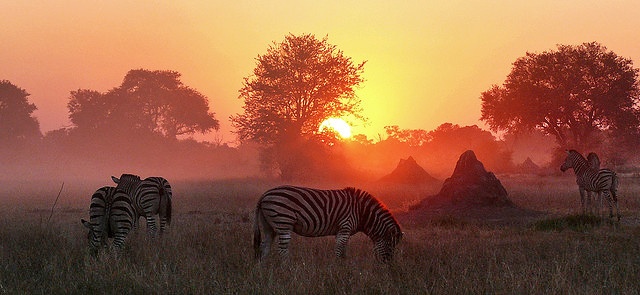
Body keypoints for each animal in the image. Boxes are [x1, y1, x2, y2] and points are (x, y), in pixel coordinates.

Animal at [254, 185, 400, 264]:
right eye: (391, 245)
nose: (388, 265)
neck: (361, 211)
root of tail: (264, 195)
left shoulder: (342, 231)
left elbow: (343, 252)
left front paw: (344, 268)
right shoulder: (345, 227)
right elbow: (339, 251)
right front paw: (338, 270)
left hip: (269, 226)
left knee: (264, 247)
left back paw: (263, 269)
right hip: (283, 222)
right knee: (282, 250)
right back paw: (286, 269)